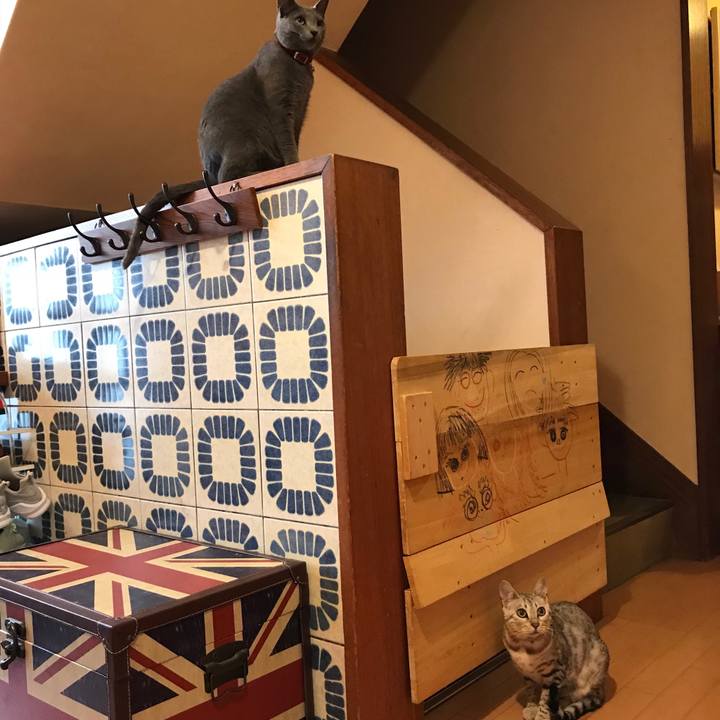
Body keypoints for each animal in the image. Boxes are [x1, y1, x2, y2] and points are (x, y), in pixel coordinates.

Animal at [122, 0, 329, 269]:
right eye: (300, 20)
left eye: (319, 21)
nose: (314, 31)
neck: (298, 66)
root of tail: (206, 172)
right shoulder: (281, 109)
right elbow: (287, 142)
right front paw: (293, 164)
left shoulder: (301, 112)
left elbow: (295, 139)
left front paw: (294, 161)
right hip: (247, 140)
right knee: (225, 176)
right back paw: (261, 172)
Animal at [499, 578, 609, 720]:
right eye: (521, 613)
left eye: (541, 611)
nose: (535, 624)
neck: (526, 647)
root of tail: (600, 689)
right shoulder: (526, 673)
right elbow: (530, 690)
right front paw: (531, 707)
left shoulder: (554, 673)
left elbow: (546, 699)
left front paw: (541, 716)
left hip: (597, 657)